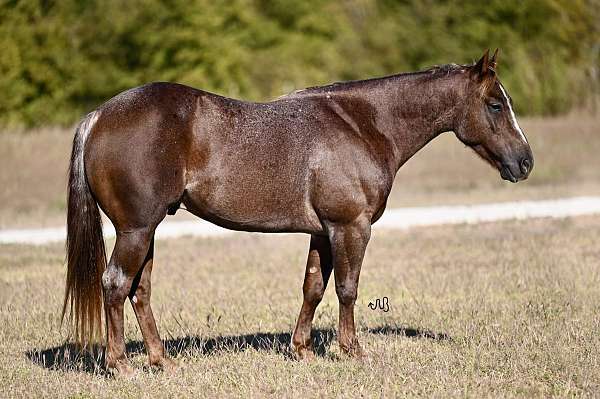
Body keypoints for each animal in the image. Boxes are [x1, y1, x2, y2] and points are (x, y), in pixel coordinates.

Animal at [63, 49, 536, 376]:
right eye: (496, 104)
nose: (525, 162)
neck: (362, 124)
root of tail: (99, 116)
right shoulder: (350, 227)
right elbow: (347, 288)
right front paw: (353, 350)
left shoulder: (323, 232)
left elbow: (313, 287)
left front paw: (302, 349)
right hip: (136, 230)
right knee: (115, 284)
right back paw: (120, 365)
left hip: (147, 231)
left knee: (139, 290)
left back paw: (160, 360)